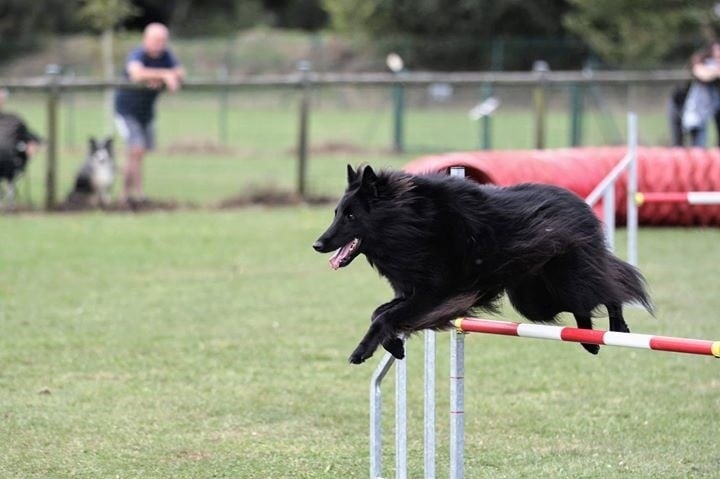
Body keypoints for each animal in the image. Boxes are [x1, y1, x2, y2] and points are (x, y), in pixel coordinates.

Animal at [314, 165, 652, 364]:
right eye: (336, 212)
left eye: (351, 216)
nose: (317, 244)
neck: (412, 222)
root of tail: (579, 204)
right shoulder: (414, 293)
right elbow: (380, 312)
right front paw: (394, 346)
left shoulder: (437, 293)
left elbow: (384, 317)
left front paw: (363, 350)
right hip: (535, 299)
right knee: (585, 303)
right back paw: (589, 341)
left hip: (563, 280)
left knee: (610, 289)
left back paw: (618, 327)